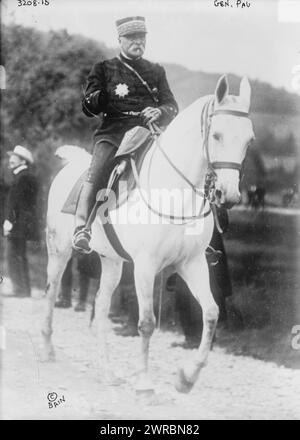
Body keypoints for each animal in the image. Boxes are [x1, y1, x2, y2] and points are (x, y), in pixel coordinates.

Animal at [41, 75, 253, 392]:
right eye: (216, 135)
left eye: (249, 140)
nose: (228, 195)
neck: (175, 193)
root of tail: (71, 166)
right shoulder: (145, 266)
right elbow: (147, 323)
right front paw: (144, 382)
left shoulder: (192, 264)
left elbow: (211, 313)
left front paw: (187, 378)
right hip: (59, 251)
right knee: (51, 291)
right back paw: (47, 349)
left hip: (112, 262)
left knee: (100, 307)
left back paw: (107, 371)